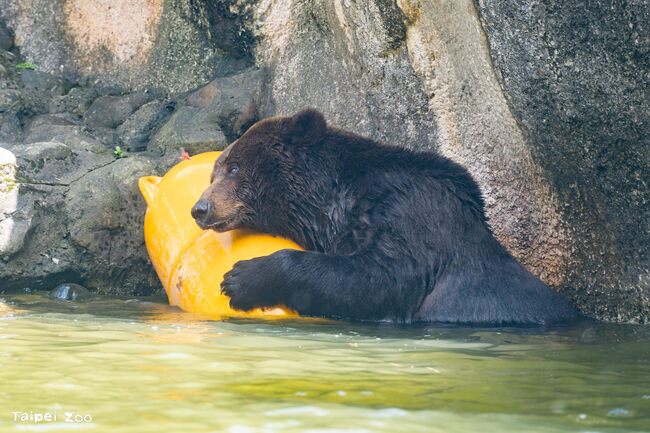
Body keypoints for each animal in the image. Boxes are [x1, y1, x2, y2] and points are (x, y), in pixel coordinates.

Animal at [191, 109, 578, 325]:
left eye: (234, 168)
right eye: (214, 172)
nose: (200, 209)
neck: (334, 202)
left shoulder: (408, 213)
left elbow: (383, 277)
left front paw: (241, 279)